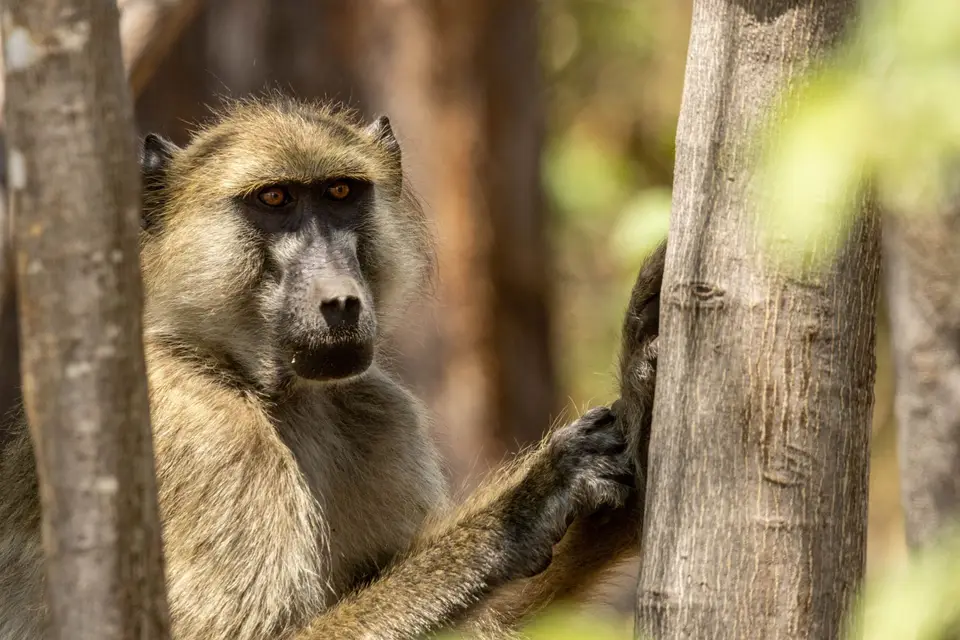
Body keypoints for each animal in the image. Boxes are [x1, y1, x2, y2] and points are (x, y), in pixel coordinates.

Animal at [0, 95, 665, 640]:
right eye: (275, 200)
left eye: (341, 194)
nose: (340, 301)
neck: (263, 386)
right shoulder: (207, 435)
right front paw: (532, 500)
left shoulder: (378, 412)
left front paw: (643, 393)